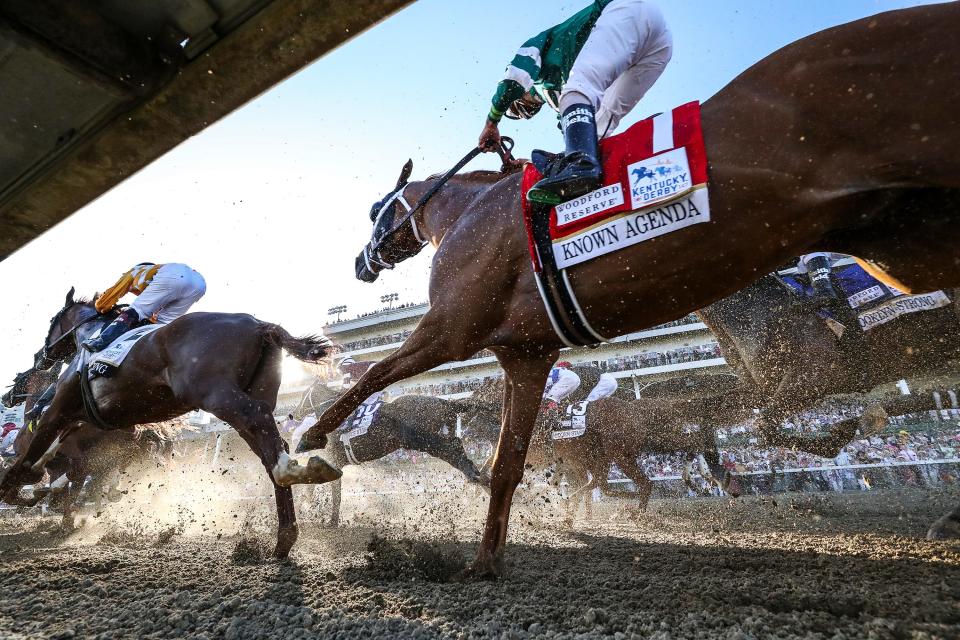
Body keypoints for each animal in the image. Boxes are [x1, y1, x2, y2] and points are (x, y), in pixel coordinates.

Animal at [0, 290, 338, 556]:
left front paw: (17, 489)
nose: (41, 355)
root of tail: (259, 325)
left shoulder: (60, 412)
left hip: (217, 394)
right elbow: (45, 460)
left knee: (264, 432)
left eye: (52, 323)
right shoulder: (77, 422)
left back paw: (292, 471)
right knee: (268, 443)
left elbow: (28, 459)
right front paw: (36, 490)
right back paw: (284, 536)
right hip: (255, 394)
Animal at [298, 3, 960, 576]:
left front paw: (311, 434)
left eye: (377, 211)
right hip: (907, 244)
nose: (361, 263)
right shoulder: (526, 354)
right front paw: (485, 560)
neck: (470, 212)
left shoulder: (452, 327)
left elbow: (374, 372)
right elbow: (507, 463)